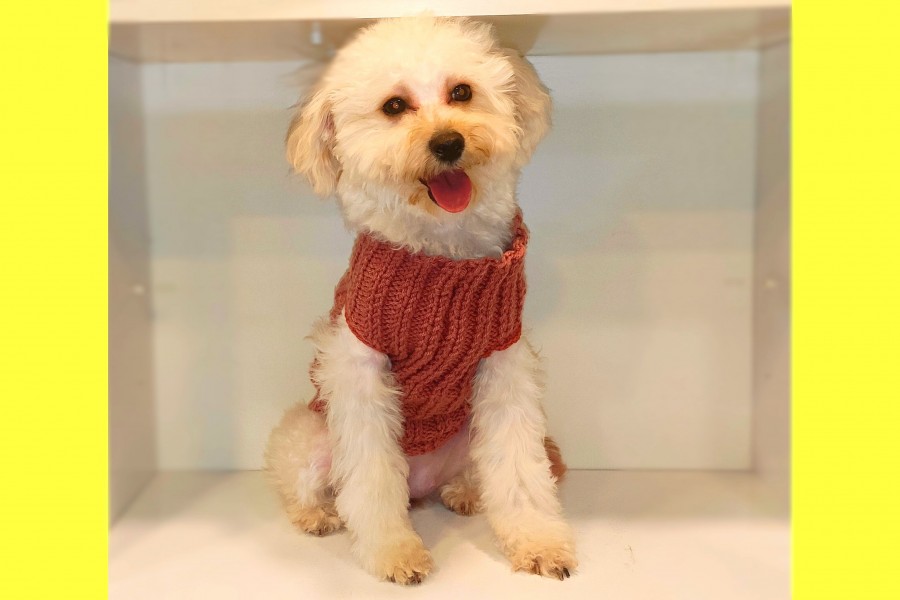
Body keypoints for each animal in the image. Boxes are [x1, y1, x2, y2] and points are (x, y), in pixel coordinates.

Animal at [265, 16, 576, 584]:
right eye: (394, 105)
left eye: (462, 92)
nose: (448, 143)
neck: (442, 253)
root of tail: (419, 484)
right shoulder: (360, 370)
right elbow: (370, 479)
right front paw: (394, 553)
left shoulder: (505, 365)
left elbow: (520, 468)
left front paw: (540, 542)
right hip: (311, 434)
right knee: (313, 482)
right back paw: (316, 514)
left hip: (467, 435)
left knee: (480, 471)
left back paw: (465, 493)